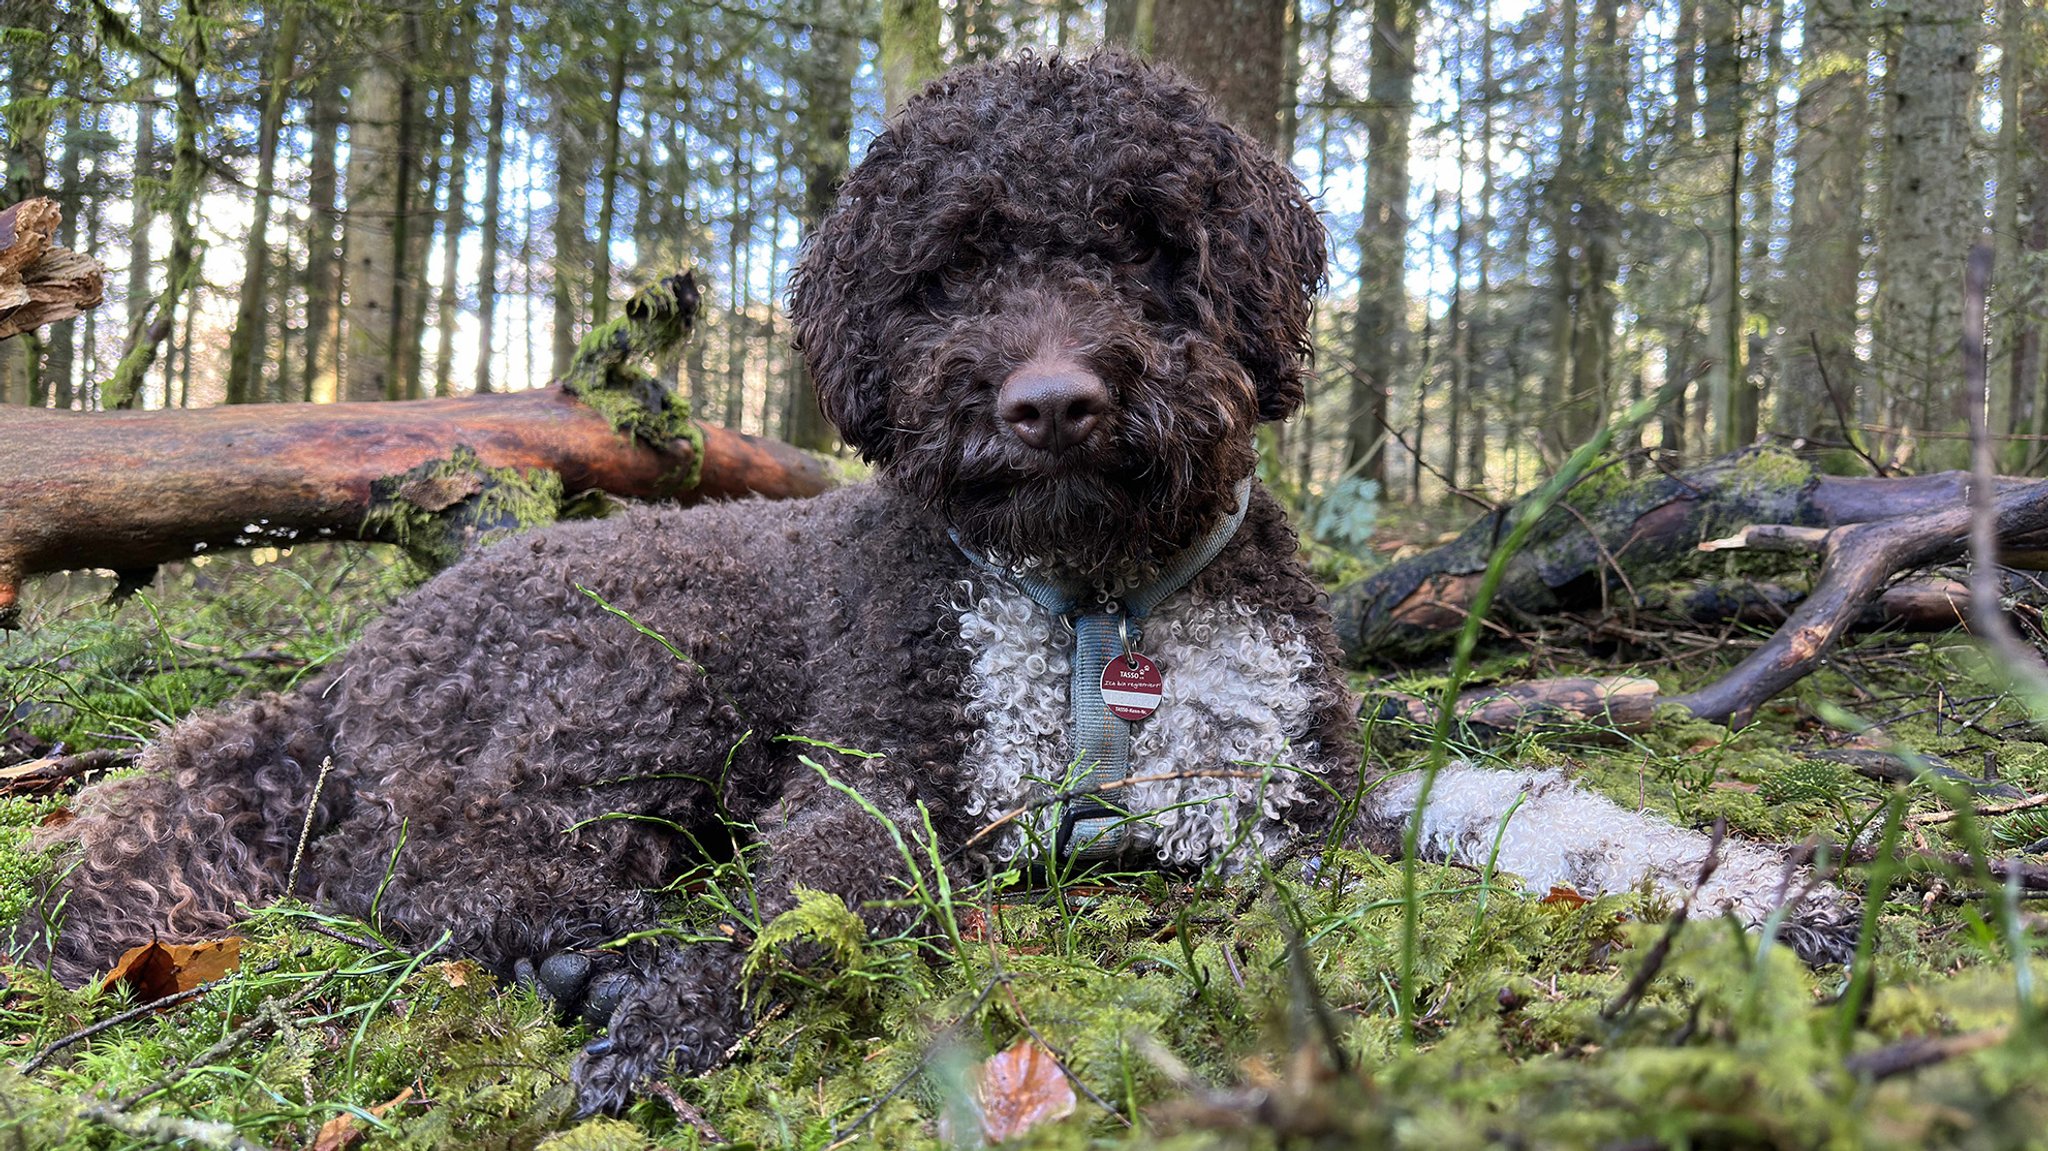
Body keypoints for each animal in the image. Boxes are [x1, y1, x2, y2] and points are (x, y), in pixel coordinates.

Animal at [19, 53, 1859, 1114]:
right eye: (952, 267)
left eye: (1150, 241)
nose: (1050, 399)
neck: (1097, 602)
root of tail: (335, 672)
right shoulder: (885, 772)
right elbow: (814, 904)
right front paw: (683, 1015)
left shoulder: (1287, 791)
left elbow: (1520, 800)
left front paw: (1756, 891)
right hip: (645, 662)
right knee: (400, 861)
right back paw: (593, 948)